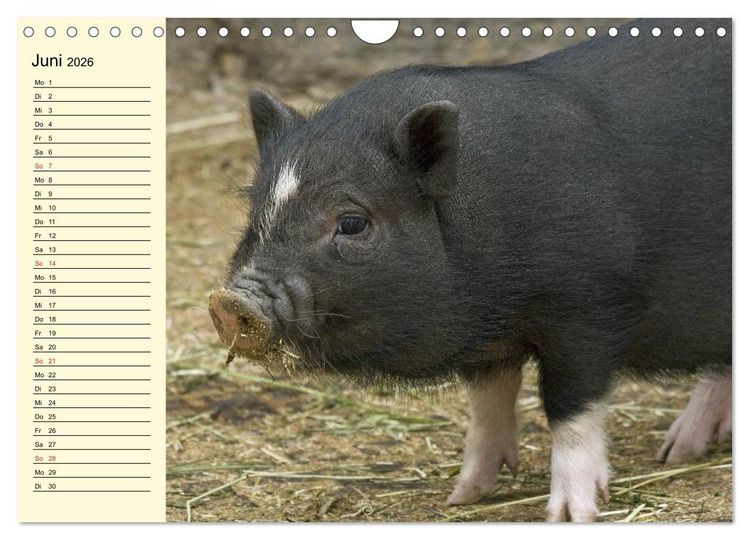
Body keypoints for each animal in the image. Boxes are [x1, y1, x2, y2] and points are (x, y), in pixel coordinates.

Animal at [209, 18, 731, 521]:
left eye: (352, 222)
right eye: (256, 210)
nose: (231, 301)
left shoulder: (592, 308)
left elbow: (569, 410)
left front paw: (570, 515)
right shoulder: (489, 340)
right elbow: (487, 403)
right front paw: (462, 498)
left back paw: (672, 453)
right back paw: (680, 451)